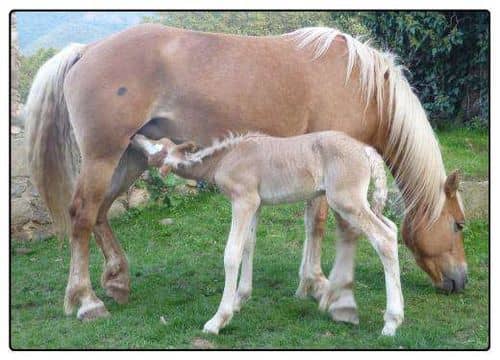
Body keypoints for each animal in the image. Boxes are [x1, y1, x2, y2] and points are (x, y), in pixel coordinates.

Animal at [131, 131, 404, 336]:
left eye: (156, 148)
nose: (136, 136)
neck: (225, 158)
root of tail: (366, 150)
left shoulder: (243, 200)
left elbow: (231, 254)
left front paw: (218, 320)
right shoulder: (257, 203)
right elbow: (249, 245)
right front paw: (240, 300)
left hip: (346, 200)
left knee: (384, 238)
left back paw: (391, 322)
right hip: (356, 201)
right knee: (391, 227)